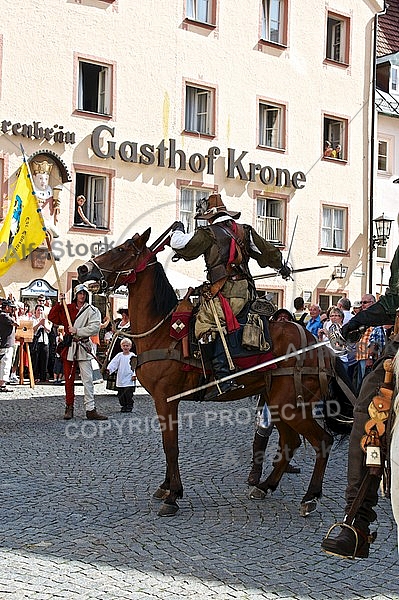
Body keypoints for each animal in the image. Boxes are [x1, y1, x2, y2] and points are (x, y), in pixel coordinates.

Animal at [78, 227, 354, 516]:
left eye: (121, 250)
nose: (84, 270)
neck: (161, 329)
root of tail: (320, 347)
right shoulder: (164, 401)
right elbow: (168, 445)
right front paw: (166, 487)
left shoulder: (166, 399)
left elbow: (171, 446)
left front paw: (172, 495)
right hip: (279, 404)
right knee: (291, 443)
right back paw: (264, 486)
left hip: (290, 405)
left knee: (322, 441)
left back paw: (310, 497)